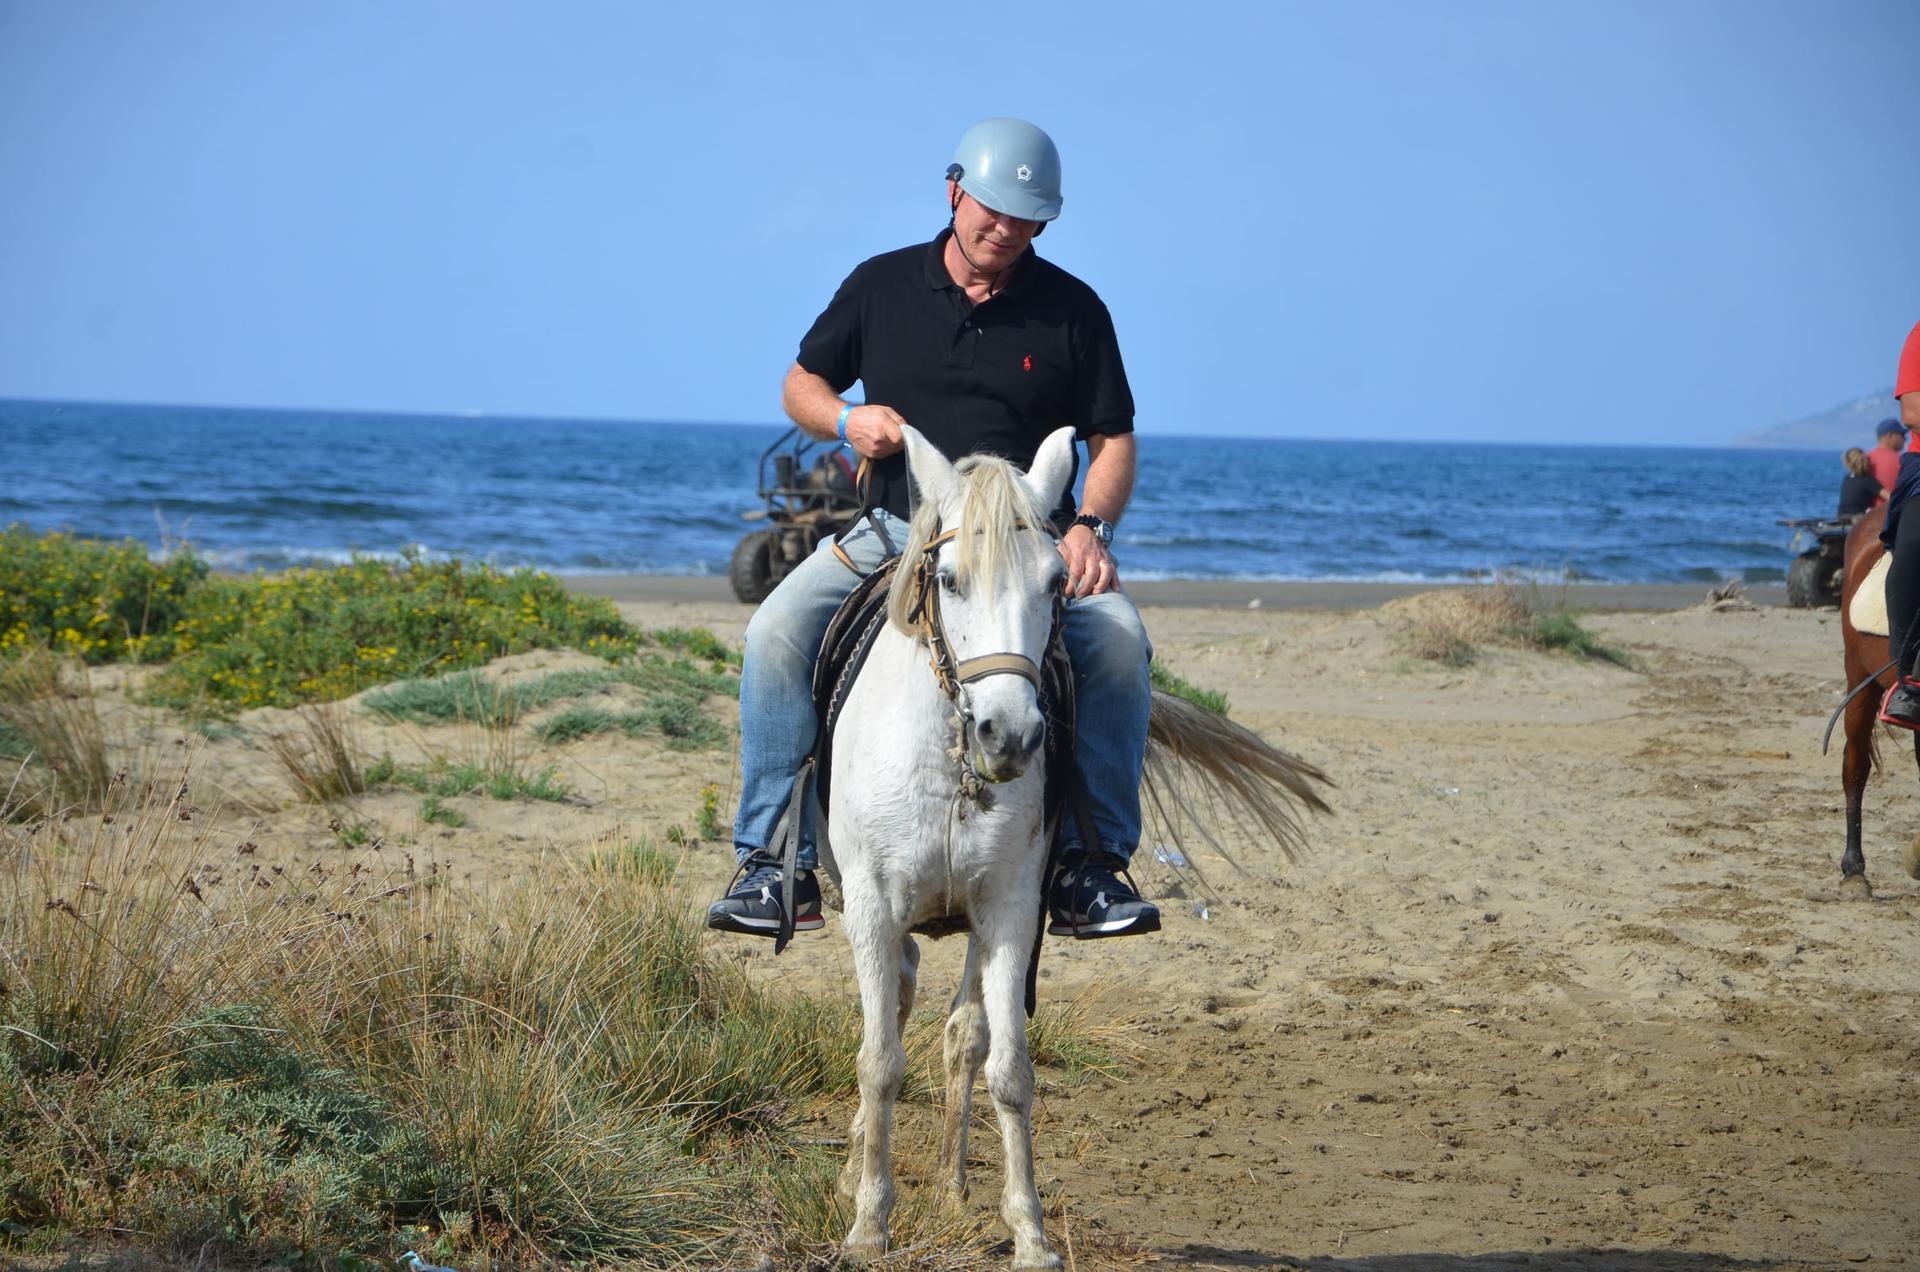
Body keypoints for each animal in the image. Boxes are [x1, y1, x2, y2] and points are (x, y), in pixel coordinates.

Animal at [819, 424, 1329, 1265]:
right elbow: (879, 1060)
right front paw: (867, 1225)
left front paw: (1027, 1230)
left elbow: (1007, 1069)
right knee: (895, 1013)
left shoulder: (1009, 911)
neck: (950, 765)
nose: (1010, 735)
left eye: (1058, 582)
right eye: (950, 579)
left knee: (960, 1035)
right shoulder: (871, 902)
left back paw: (953, 1188)